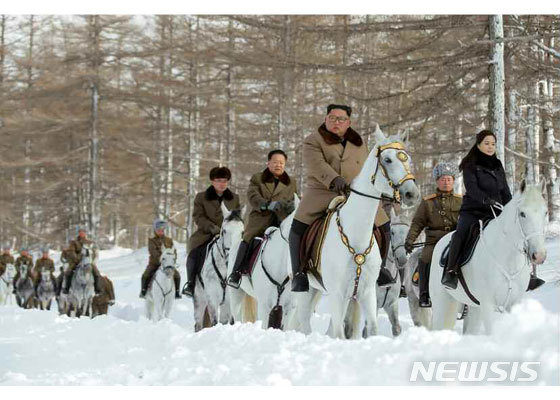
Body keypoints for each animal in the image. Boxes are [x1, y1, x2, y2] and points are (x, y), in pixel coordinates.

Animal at [194, 203, 244, 332]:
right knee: (198, 324)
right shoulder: (212, 298)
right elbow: (214, 322)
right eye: (224, 231)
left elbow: (227, 322)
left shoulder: (229, 301)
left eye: (242, 232)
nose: (232, 256)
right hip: (199, 298)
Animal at [296, 126, 418, 340]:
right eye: (388, 160)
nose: (411, 194)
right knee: (304, 322)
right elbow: (339, 333)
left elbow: (371, 329)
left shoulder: (367, 293)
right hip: (308, 290)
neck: (355, 235)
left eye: (408, 159)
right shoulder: (337, 294)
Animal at [428, 180, 548, 334]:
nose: (539, 255)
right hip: (441, 303)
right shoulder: (488, 305)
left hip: (473, 308)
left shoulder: (514, 303)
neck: (508, 258)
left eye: (545, 212)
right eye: (522, 213)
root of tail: (439, 243)